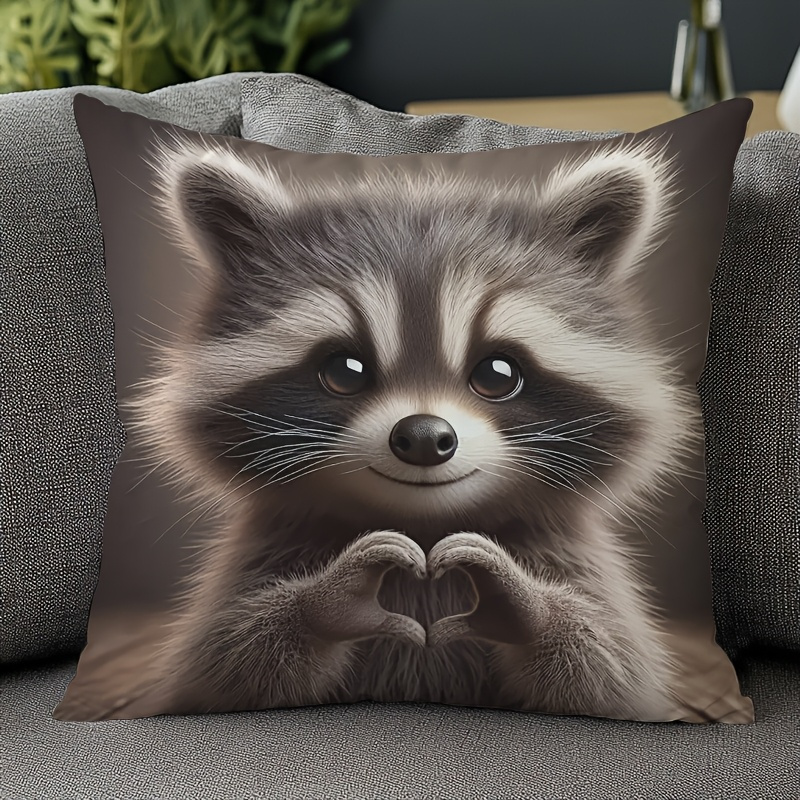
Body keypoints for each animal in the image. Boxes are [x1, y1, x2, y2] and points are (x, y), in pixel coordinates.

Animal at [105, 135, 698, 722]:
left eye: (497, 373)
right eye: (345, 370)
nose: (424, 437)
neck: (425, 523)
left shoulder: (571, 557)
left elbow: (609, 667)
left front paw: (524, 604)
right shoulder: (264, 555)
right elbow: (227, 662)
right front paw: (326, 600)